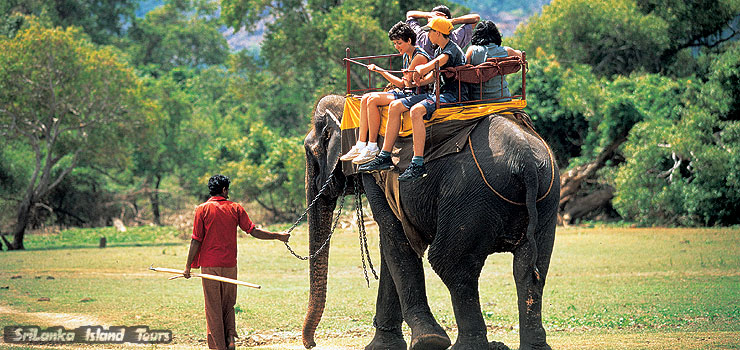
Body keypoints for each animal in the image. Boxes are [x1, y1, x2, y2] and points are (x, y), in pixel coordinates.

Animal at [300, 95, 560, 350]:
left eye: (311, 154)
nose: (311, 344)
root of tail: (525, 161)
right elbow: (391, 244)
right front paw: (383, 346)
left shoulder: (374, 173)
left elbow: (395, 238)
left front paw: (429, 341)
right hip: (546, 195)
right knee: (529, 268)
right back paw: (533, 346)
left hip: (468, 197)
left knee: (451, 264)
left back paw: (465, 347)